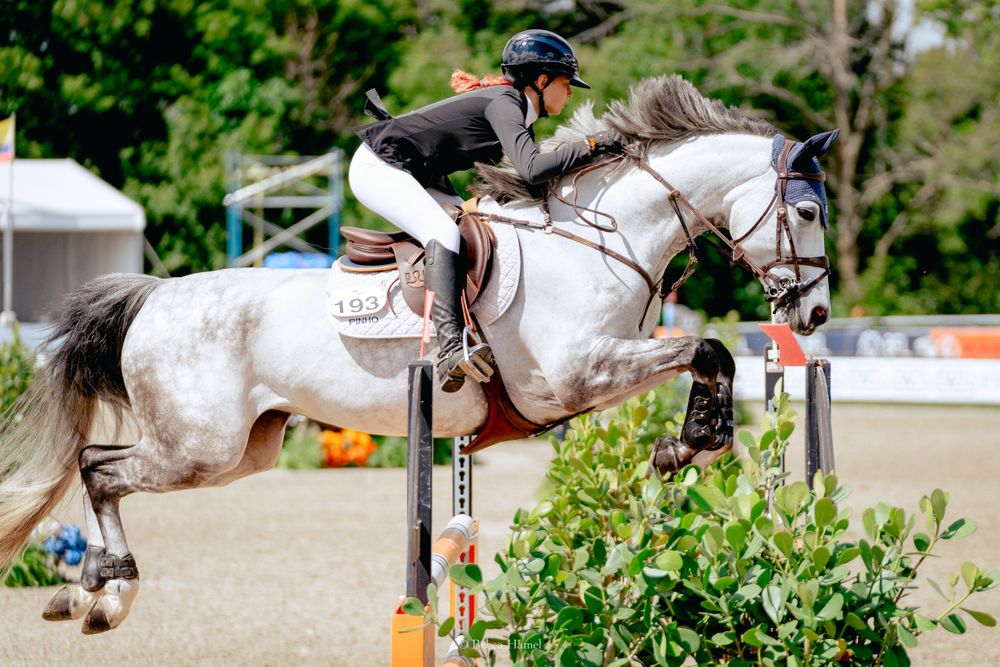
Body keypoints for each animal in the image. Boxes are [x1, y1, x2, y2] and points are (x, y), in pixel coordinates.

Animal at [0, 75, 837, 634]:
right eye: (805, 211)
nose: (815, 312)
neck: (603, 235)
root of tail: (152, 297)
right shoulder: (573, 375)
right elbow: (708, 346)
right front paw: (689, 440)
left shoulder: (595, 369)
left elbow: (706, 356)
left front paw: (685, 444)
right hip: (198, 445)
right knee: (99, 468)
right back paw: (109, 592)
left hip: (242, 450)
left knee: (100, 466)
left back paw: (85, 588)